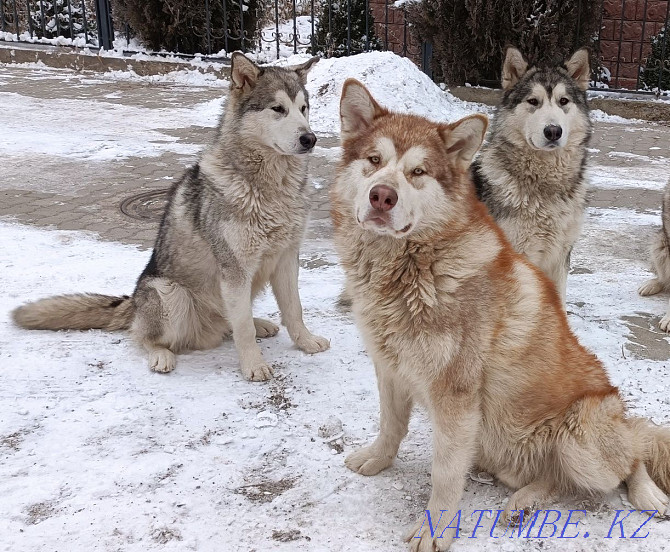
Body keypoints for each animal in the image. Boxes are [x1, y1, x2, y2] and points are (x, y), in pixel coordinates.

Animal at [12, 52, 330, 380]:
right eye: (278, 109)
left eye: (303, 109)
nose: (310, 139)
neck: (269, 187)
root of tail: (133, 304)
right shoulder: (235, 269)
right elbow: (243, 330)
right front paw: (254, 366)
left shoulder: (286, 258)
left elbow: (293, 310)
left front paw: (305, 343)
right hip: (170, 293)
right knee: (145, 337)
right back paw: (161, 356)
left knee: (229, 322)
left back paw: (260, 324)